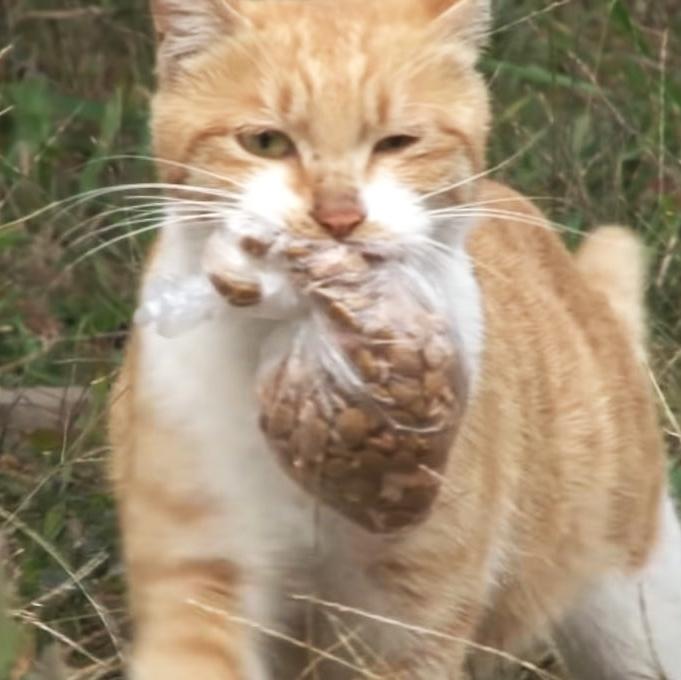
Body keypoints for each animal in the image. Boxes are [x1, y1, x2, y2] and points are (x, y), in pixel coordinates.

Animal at [106, 0, 680, 676]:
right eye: (266, 142)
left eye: (397, 142)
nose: (338, 217)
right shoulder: (199, 567)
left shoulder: (410, 619)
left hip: (635, 612)